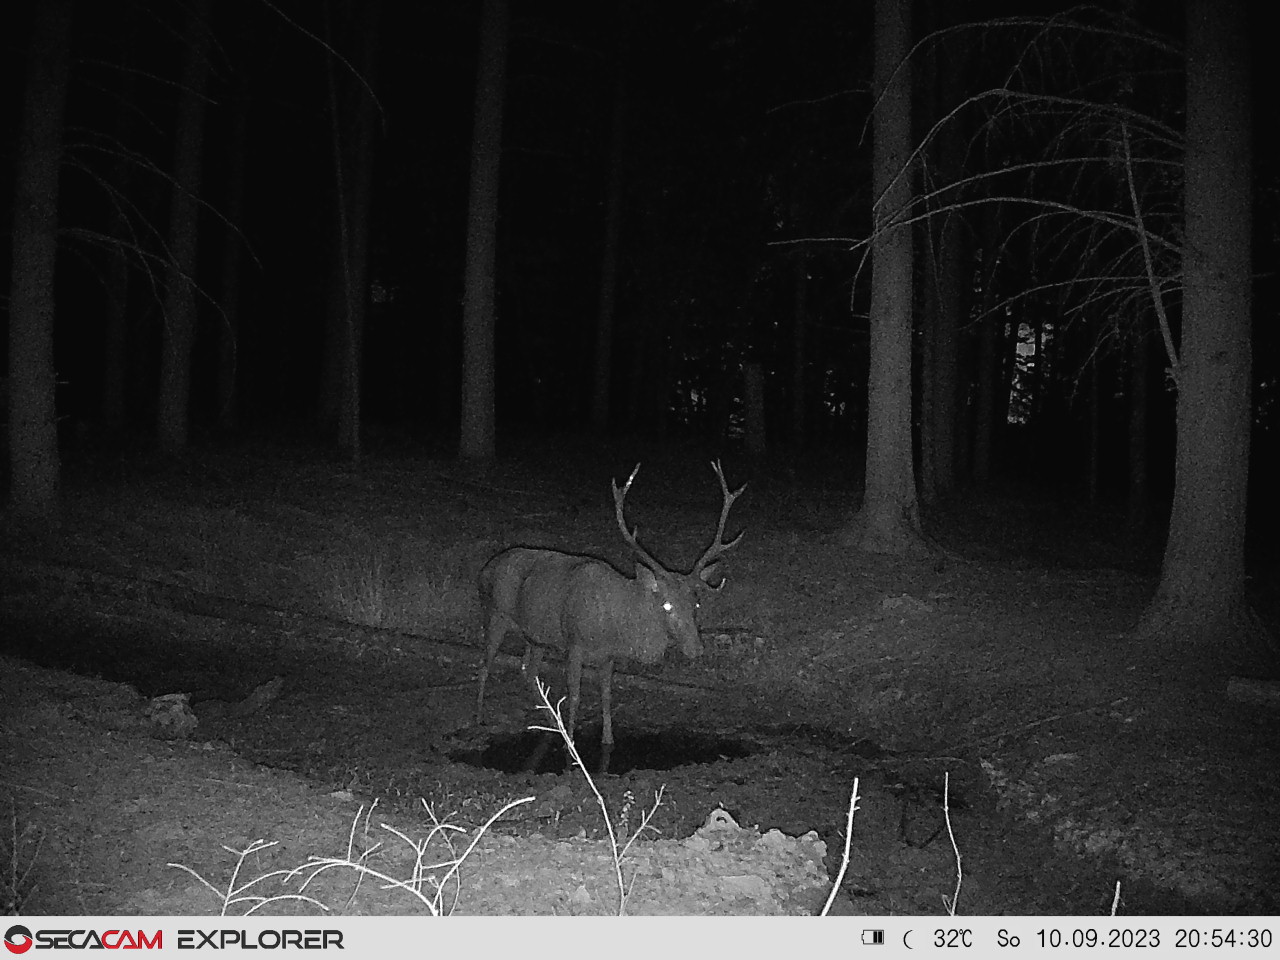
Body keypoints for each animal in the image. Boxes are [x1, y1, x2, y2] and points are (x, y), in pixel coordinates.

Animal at [476, 458, 747, 768]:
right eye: (666, 605)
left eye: (696, 605)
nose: (696, 649)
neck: (614, 624)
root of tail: (484, 569)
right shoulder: (574, 644)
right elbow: (576, 695)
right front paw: (571, 748)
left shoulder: (608, 656)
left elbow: (607, 695)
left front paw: (607, 740)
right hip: (494, 613)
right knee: (485, 664)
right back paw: (479, 718)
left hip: (536, 636)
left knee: (528, 671)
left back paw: (551, 721)